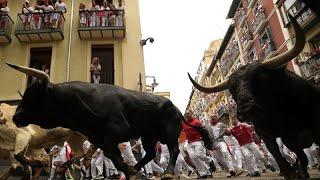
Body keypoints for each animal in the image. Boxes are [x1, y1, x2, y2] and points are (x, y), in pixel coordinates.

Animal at [5, 64, 212, 179]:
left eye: (34, 96)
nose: (16, 116)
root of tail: (176, 108)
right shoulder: (98, 138)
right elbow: (108, 158)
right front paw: (131, 171)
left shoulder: (114, 133)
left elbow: (116, 159)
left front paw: (129, 171)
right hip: (149, 136)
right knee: (151, 153)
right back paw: (137, 167)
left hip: (170, 131)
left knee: (174, 150)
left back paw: (168, 172)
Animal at [189, 15, 318, 179]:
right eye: (231, 89)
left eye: (260, 77)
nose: (247, 109)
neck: (273, 111)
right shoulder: (267, 135)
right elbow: (280, 157)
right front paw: (290, 172)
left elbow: (298, 156)